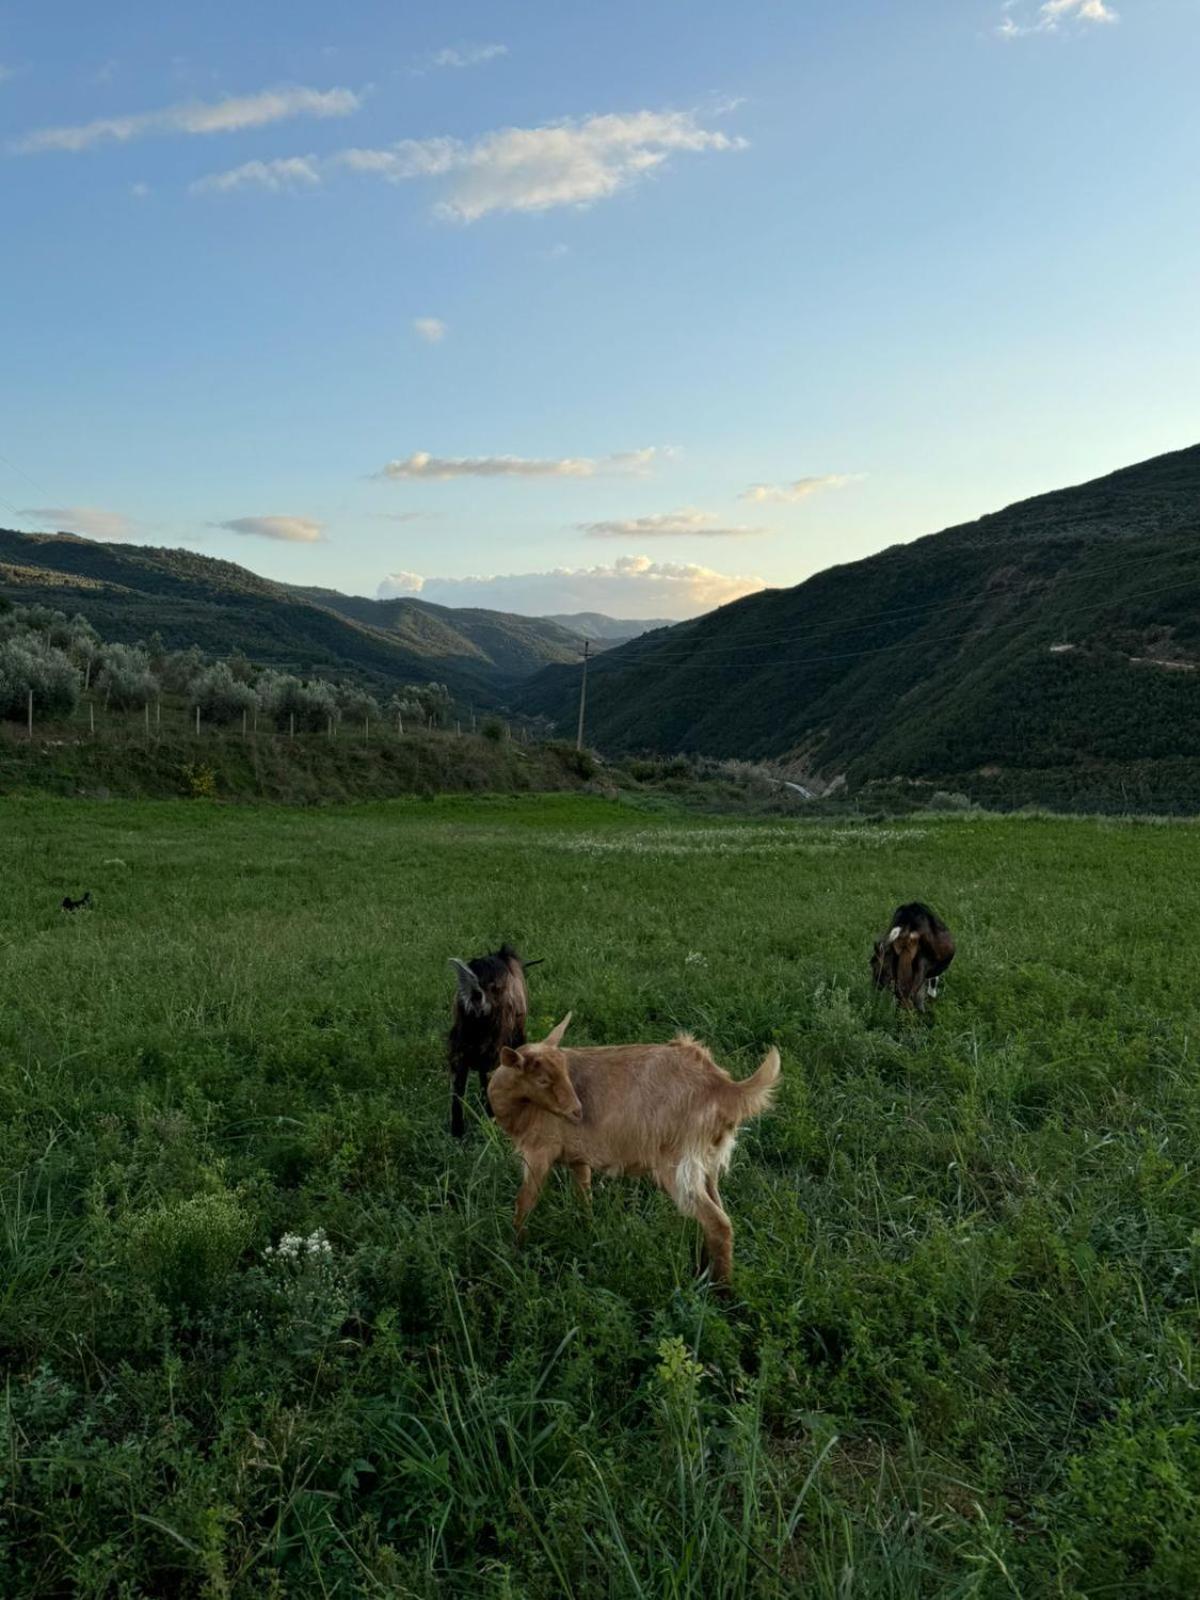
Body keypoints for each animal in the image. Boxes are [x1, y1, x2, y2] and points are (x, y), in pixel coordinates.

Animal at [448, 947, 544, 1139]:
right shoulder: (516, 1033)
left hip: (460, 1044)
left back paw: (458, 1132)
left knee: (458, 1087)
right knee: (489, 1075)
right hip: (496, 1039)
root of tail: (475, 990)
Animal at [483, 1011, 784, 1286]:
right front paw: (588, 1231)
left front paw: (515, 1249)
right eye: (543, 1080)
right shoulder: (578, 1158)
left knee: (718, 1223)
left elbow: (524, 1201)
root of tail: (724, 1087)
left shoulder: (539, 1152)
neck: (520, 1109)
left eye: (561, 1074)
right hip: (706, 1164)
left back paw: (720, 1290)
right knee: (717, 1212)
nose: (577, 1112)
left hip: (678, 1166)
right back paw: (703, 1269)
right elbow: (583, 1197)